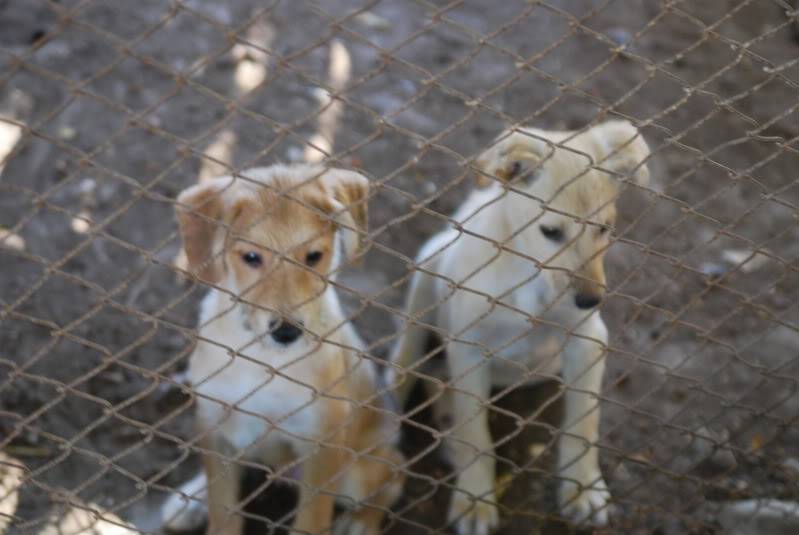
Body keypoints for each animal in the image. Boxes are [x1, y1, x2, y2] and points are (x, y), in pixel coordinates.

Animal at [390, 121, 652, 535]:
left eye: (605, 227)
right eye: (550, 231)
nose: (590, 302)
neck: (530, 276)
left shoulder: (587, 340)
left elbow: (583, 422)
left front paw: (582, 489)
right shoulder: (468, 348)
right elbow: (476, 432)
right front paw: (475, 499)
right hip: (424, 279)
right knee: (407, 372)